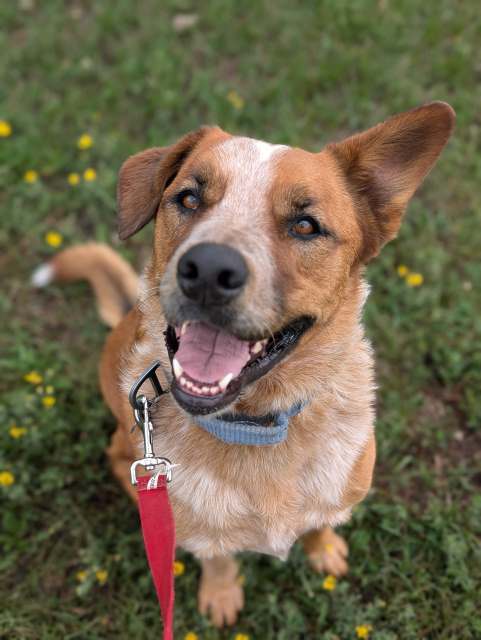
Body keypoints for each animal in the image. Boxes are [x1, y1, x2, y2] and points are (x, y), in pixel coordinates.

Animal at [34, 102, 454, 628]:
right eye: (189, 198)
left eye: (305, 225)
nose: (208, 271)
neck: (258, 427)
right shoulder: (196, 528)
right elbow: (218, 557)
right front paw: (221, 594)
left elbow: (320, 522)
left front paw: (324, 548)